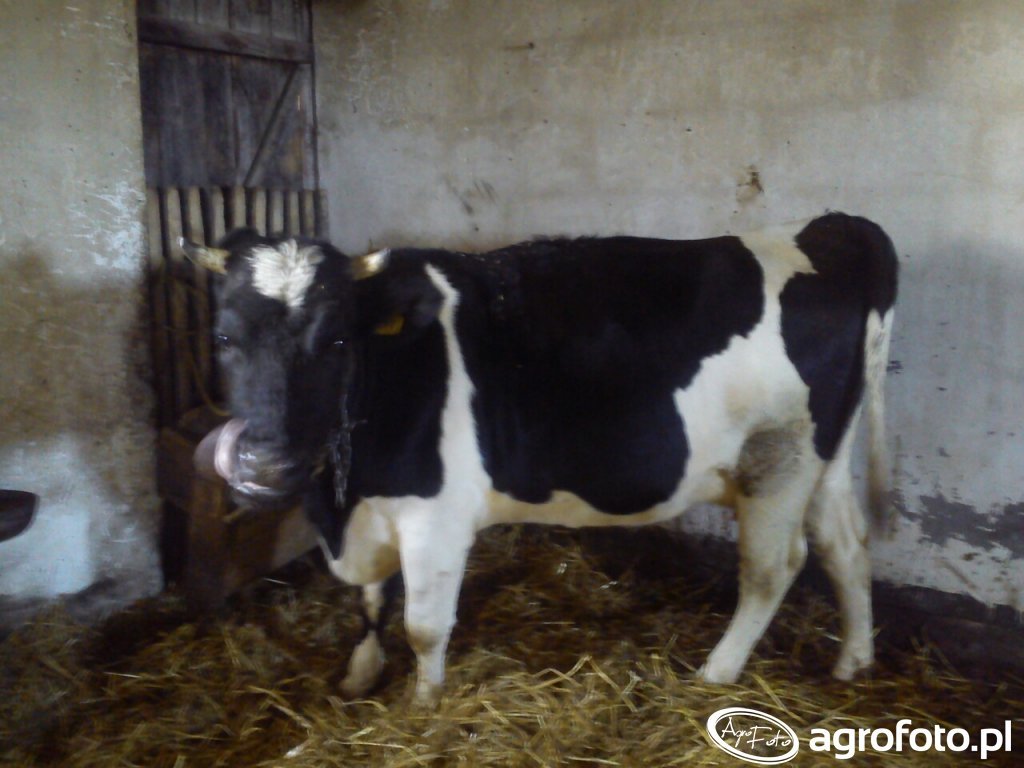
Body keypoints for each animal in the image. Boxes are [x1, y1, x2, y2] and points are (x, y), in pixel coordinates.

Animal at [184, 211, 898, 704]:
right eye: (223, 338)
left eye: (336, 340)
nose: (265, 467)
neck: (346, 498)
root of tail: (833, 228)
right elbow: (366, 599)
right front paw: (360, 674)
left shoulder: (434, 519)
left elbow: (422, 625)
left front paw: (423, 703)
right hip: (821, 462)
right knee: (845, 545)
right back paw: (854, 662)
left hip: (776, 464)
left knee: (774, 569)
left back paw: (716, 672)